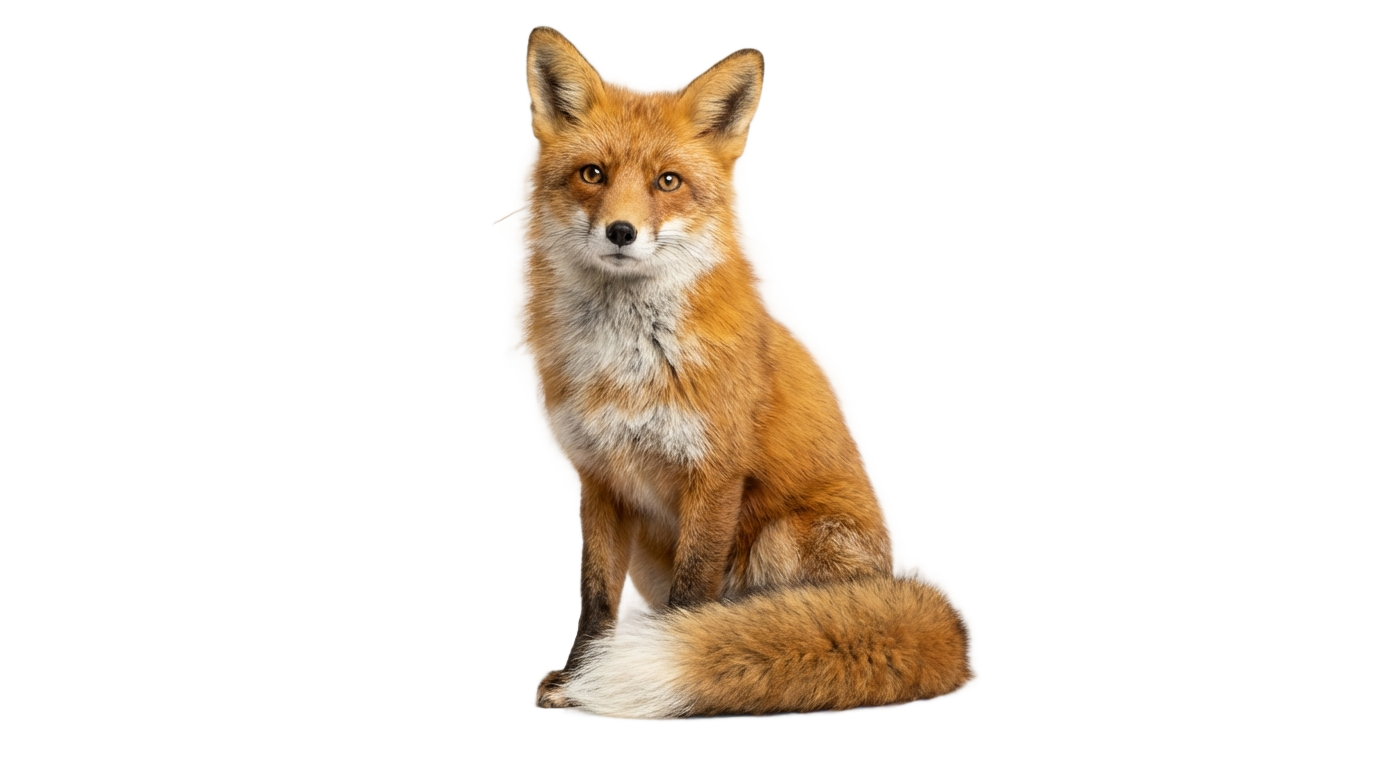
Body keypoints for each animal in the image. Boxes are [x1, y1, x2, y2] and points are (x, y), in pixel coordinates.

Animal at [521, 27, 970, 717]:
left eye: (668, 181)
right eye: (592, 174)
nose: (621, 232)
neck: (628, 362)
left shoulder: (715, 472)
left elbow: (691, 598)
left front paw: (683, 663)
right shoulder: (599, 478)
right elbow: (595, 596)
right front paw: (575, 674)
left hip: (782, 536)